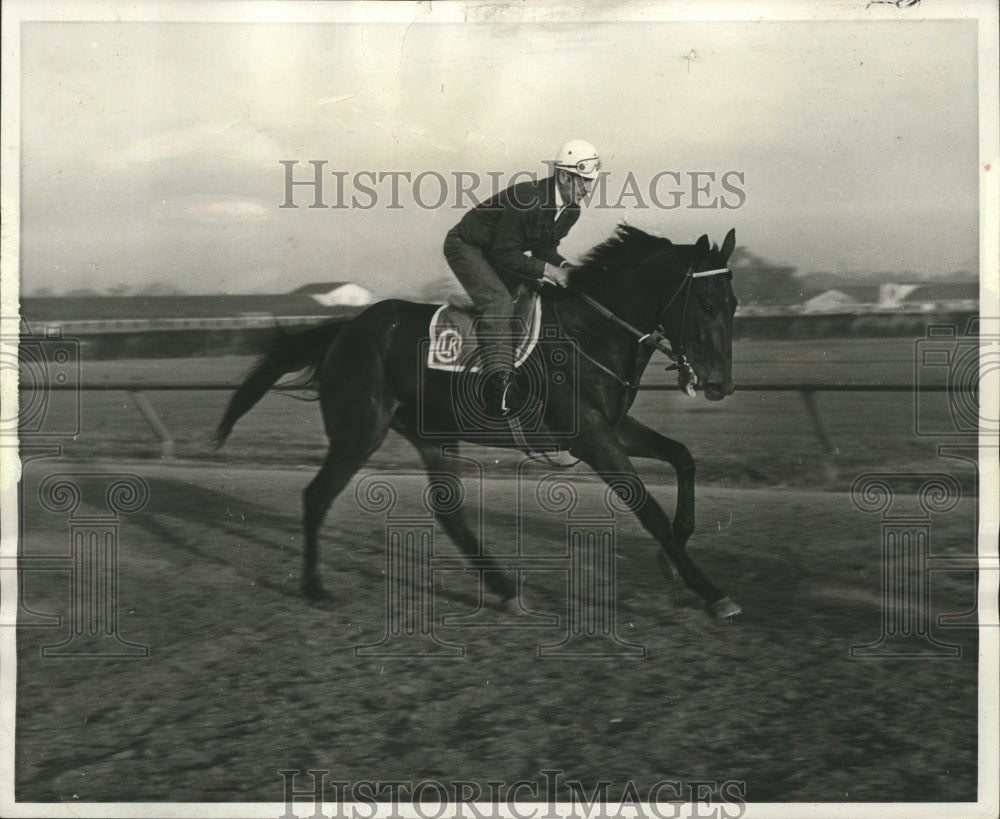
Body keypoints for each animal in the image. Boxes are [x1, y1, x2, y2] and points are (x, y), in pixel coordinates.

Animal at [213, 224, 744, 616]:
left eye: (734, 303)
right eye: (706, 304)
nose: (720, 384)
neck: (590, 334)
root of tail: (346, 328)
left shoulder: (611, 428)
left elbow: (683, 458)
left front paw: (671, 558)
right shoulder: (591, 437)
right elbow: (647, 507)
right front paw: (711, 590)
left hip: (432, 434)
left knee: (448, 511)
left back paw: (505, 587)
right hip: (359, 430)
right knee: (318, 495)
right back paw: (315, 587)